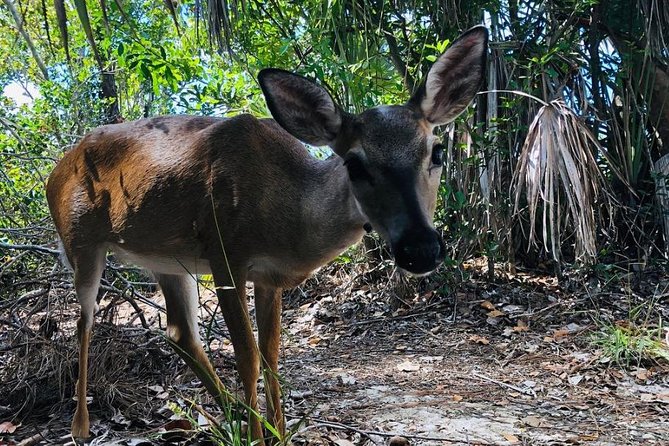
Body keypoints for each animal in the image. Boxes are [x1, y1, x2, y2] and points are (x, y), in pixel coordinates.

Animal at [45, 26, 486, 444]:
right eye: (354, 164)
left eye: (437, 151)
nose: (421, 248)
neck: (288, 221)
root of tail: (56, 169)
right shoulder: (226, 254)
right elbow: (248, 356)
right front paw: (260, 437)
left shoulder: (269, 277)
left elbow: (272, 355)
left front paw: (279, 433)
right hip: (79, 240)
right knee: (84, 320)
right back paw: (81, 427)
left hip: (167, 260)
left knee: (179, 331)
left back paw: (226, 417)